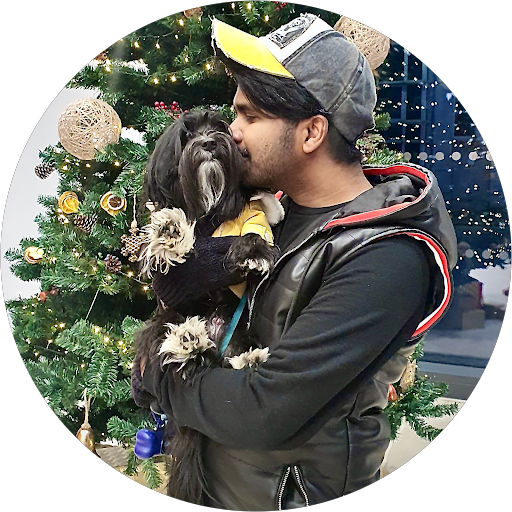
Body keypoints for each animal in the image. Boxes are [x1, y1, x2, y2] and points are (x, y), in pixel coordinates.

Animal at [132, 109, 282, 504]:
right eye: (187, 135)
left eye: (218, 127)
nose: (210, 143)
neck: (211, 212)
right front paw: (170, 230)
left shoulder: (253, 219)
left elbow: (257, 226)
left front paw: (254, 248)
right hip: (163, 320)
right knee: (175, 346)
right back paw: (188, 342)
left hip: (236, 330)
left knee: (223, 358)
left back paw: (247, 358)